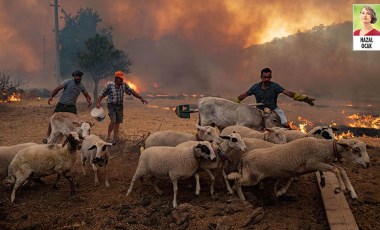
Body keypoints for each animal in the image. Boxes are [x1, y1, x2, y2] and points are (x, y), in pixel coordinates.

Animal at [227, 137, 370, 200]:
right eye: (356, 150)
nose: (368, 164)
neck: (324, 147)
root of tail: (244, 156)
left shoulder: (316, 165)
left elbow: (341, 170)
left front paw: (351, 192)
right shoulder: (313, 163)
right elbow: (336, 170)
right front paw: (340, 188)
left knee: (236, 181)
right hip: (252, 177)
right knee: (238, 181)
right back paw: (242, 199)